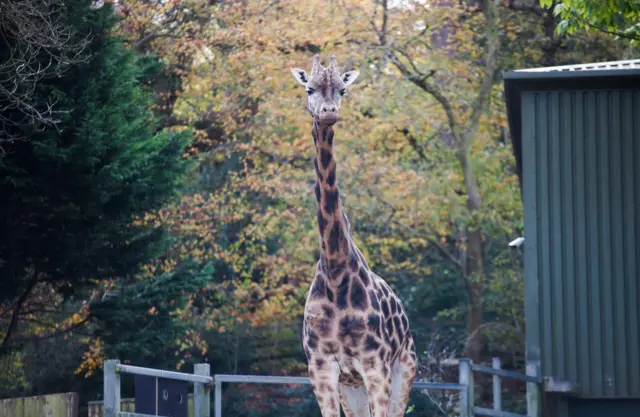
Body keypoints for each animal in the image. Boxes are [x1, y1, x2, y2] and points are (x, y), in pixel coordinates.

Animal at [291, 54, 417, 417]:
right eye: (309, 88)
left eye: (343, 90)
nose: (329, 111)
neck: (335, 269)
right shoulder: (320, 366)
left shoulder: (375, 365)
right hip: (352, 387)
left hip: (403, 369)